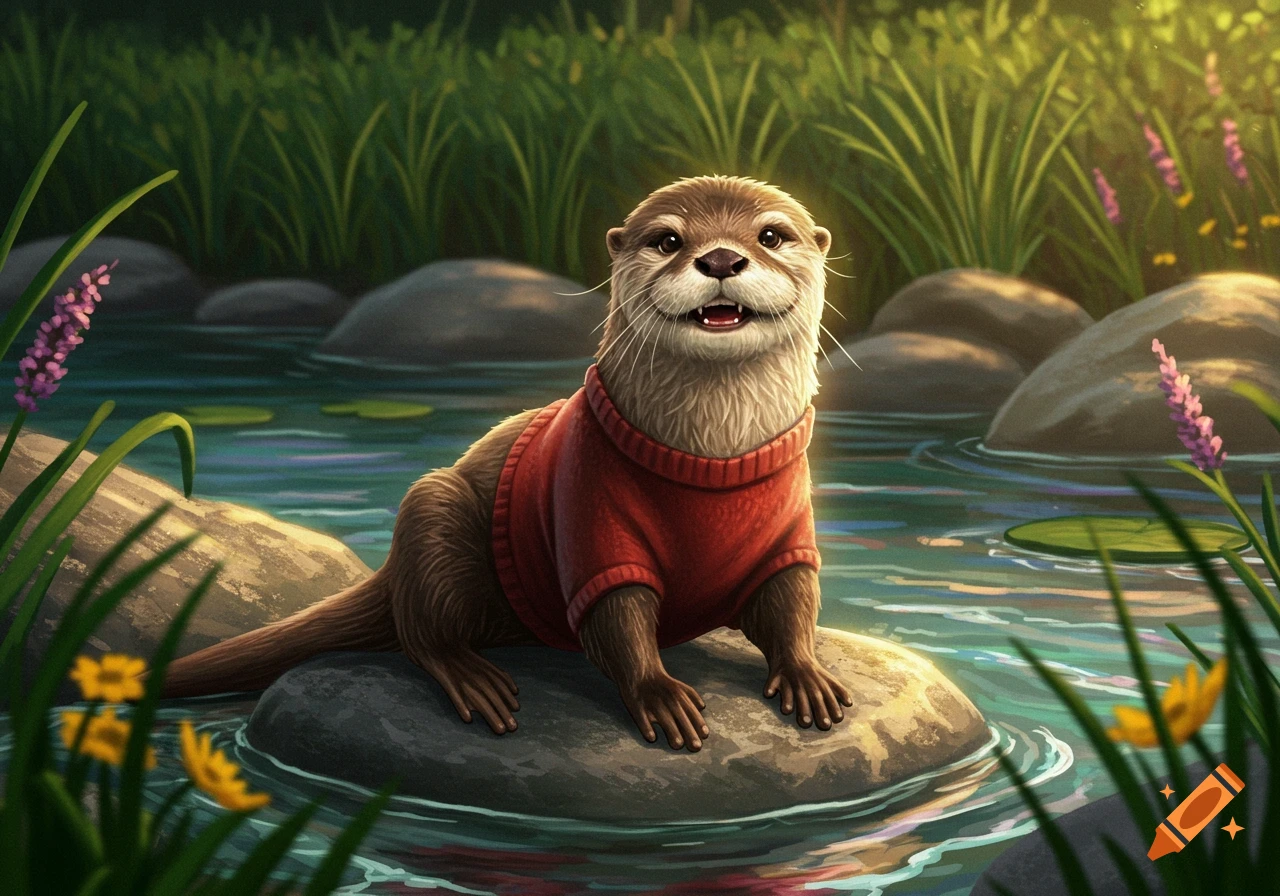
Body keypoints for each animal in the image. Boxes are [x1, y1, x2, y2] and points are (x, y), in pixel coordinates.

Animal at [164, 175, 853, 752]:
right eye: (668, 240)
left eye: (771, 235)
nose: (720, 259)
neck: (709, 454)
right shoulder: (591, 526)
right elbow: (619, 621)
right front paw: (659, 693)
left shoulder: (788, 531)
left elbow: (793, 602)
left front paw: (807, 674)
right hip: (436, 510)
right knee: (420, 630)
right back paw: (472, 676)